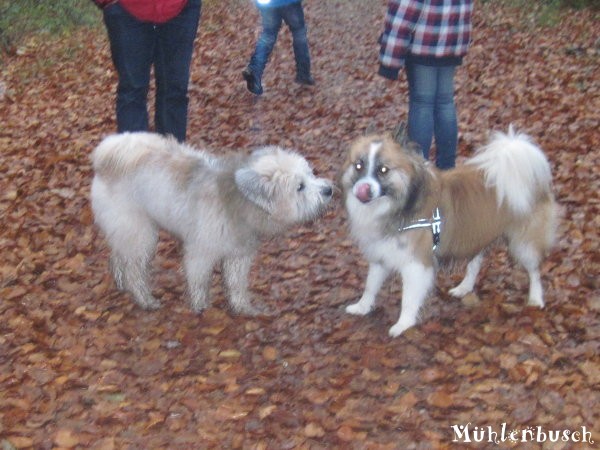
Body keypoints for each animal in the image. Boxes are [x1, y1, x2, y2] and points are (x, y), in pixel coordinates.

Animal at [91, 132, 332, 314]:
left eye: (310, 173)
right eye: (300, 186)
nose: (329, 190)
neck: (239, 199)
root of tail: (106, 157)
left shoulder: (238, 255)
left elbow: (236, 284)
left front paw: (242, 308)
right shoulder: (200, 253)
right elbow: (199, 281)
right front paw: (200, 307)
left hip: (126, 231)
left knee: (119, 256)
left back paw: (121, 283)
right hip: (140, 233)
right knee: (134, 270)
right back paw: (145, 299)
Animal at [342, 126, 556, 338]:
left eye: (383, 170)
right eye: (358, 166)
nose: (362, 189)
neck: (402, 204)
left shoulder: (416, 264)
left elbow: (408, 299)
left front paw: (403, 324)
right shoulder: (381, 253)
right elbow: (370, 286)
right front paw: (362, 307)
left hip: (523, 243)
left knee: (534, 270)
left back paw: (536, 298)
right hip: (477, 233)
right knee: (475, 263)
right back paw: (464, 288)